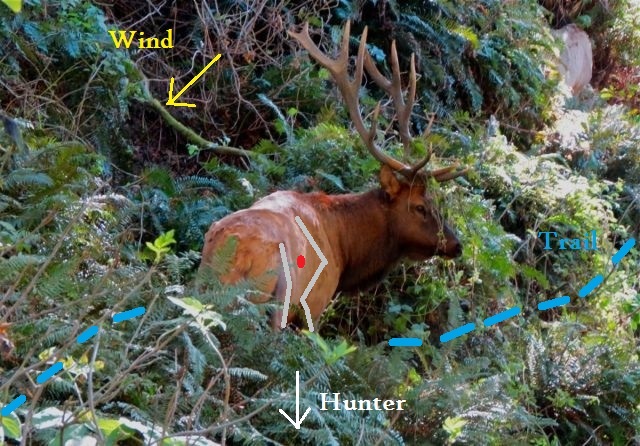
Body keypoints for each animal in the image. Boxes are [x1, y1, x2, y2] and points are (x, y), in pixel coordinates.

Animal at [199, 20, 467, 330]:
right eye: (421, 207)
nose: (456, 244)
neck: (345, 248)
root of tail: (236, 254)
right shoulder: (313, 305)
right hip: (277, 299)